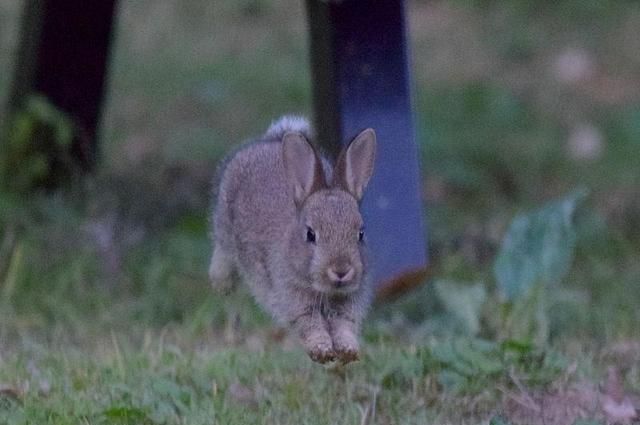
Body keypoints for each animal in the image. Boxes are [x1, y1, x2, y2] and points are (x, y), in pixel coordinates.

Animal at [210, 116, 376, 364]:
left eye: (361, 233)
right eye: (310, 234)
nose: (341, 271)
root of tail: (272, 139)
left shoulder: (348, 305)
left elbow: (344, 326)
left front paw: (347, 351)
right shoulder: (294, 300)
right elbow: (311, 326)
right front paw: (322, 351)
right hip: (224, 228)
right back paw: (222, 285)